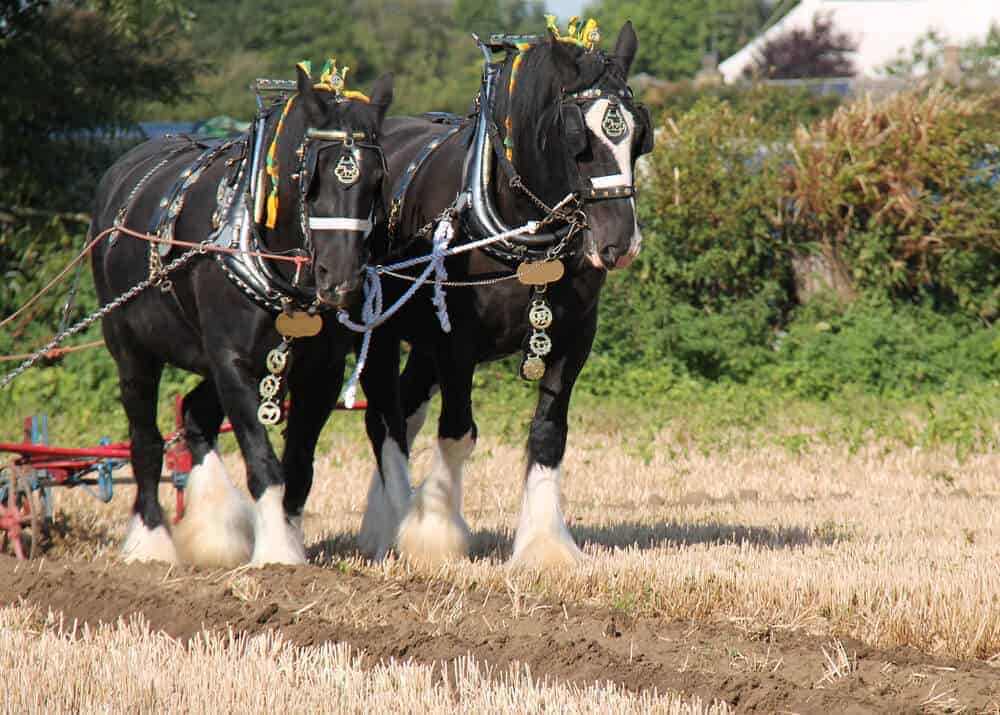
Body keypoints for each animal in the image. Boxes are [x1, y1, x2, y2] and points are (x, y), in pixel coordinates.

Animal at [89, 62, 392, 566]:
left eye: (376, 181)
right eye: (311, 179)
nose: (341, 281)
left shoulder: (321, 371)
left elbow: (299, 465)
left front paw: (287, 537)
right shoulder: (232, 361)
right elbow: (263, 460)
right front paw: (276, 553)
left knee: (196, 415)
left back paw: (213, 531)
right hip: (132, 351)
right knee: (145, 441)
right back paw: (151, 541)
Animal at [351, 21, 652, 568]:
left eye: (639, 135)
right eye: (577, 138)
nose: (620, 242)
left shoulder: (574, 338)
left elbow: (548, 434)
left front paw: (545, 547)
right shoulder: (455, 345)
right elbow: (458, 431)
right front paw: (433, 534)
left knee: (406, 409)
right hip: (380, 330)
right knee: (385, 420)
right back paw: (393, 525)